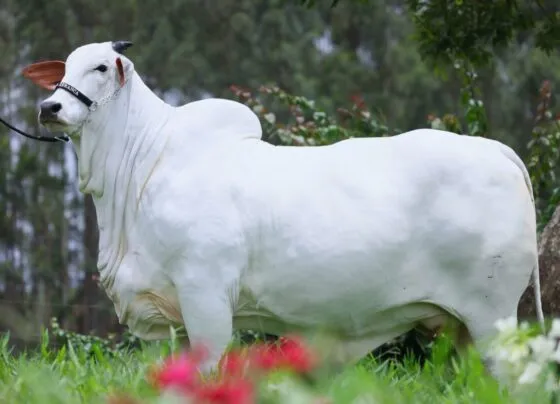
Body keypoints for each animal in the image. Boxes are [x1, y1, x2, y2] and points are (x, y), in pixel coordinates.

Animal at [23, 40, 544, 372]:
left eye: (101, 68)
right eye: (62, 70)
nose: (50, 108)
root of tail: (497, 150)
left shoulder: (205, 293)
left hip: (493, 312)